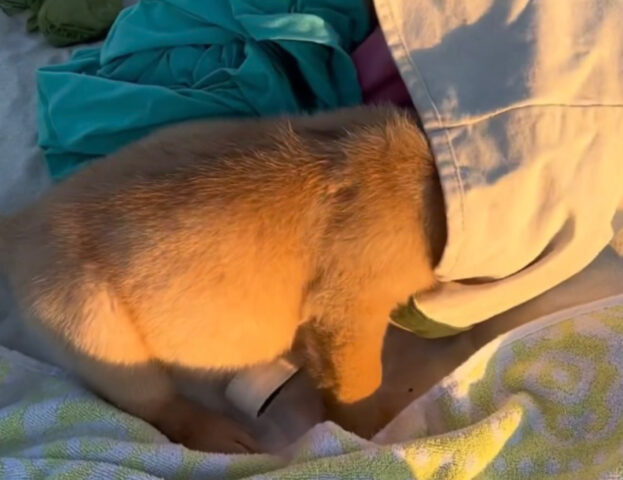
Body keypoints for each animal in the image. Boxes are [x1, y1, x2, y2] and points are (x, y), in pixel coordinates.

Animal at [1, 106, 448, 454]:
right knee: (153, 404)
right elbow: (359, 380)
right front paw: (365, 427)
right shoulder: (349, 310)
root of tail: (19, 229)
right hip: (96, 329)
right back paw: (218, 435)